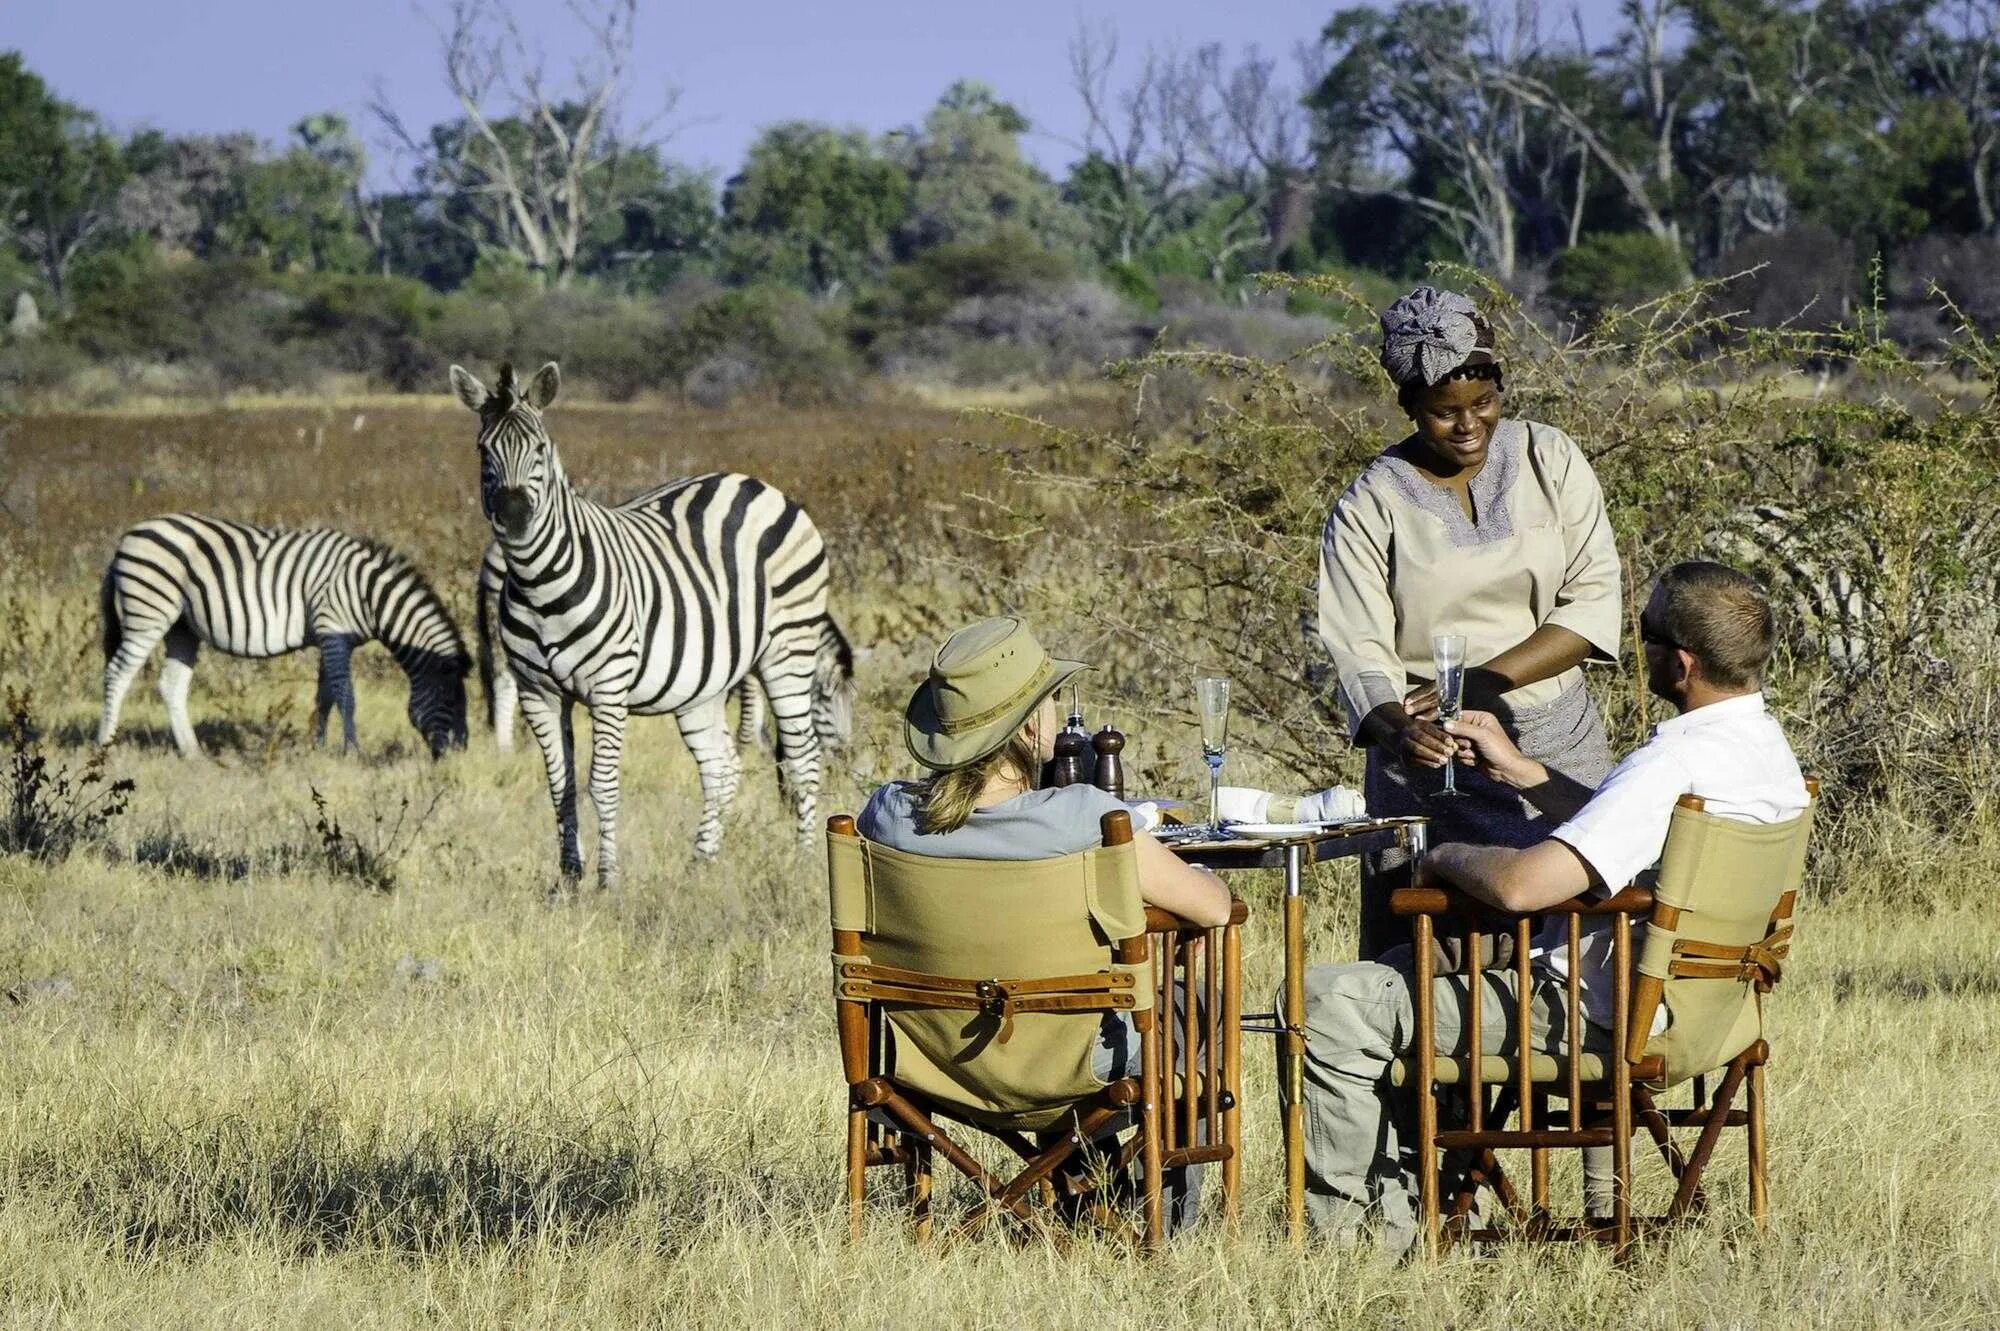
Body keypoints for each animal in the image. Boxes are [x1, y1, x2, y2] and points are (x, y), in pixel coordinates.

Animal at [99, 509, 470, 755]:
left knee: (171, 684)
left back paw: (192, 753)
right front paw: (353, 751)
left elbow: (325, 697)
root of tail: (126, 537)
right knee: (117, 673)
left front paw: (319, 747)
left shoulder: (332, 638)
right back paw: (105, 744)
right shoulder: (333, 631)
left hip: (181, 626)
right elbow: (346, 696)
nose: (459, 753)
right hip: (148, 610)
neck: (367, 593)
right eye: (452, 700)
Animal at [450, 359, 856, 879]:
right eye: (483, 450)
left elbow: (601, 784)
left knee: (803, 759)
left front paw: (608, 879)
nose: (515, 516)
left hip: (789, 647)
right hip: (705, 682)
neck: (539, 583)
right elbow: (560, 787)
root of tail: (757, 485)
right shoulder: (538, 693)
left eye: (540, 448)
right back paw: (700, 864)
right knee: (721, 766)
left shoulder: (608, 688)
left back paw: (803, 861)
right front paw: (569, 878)